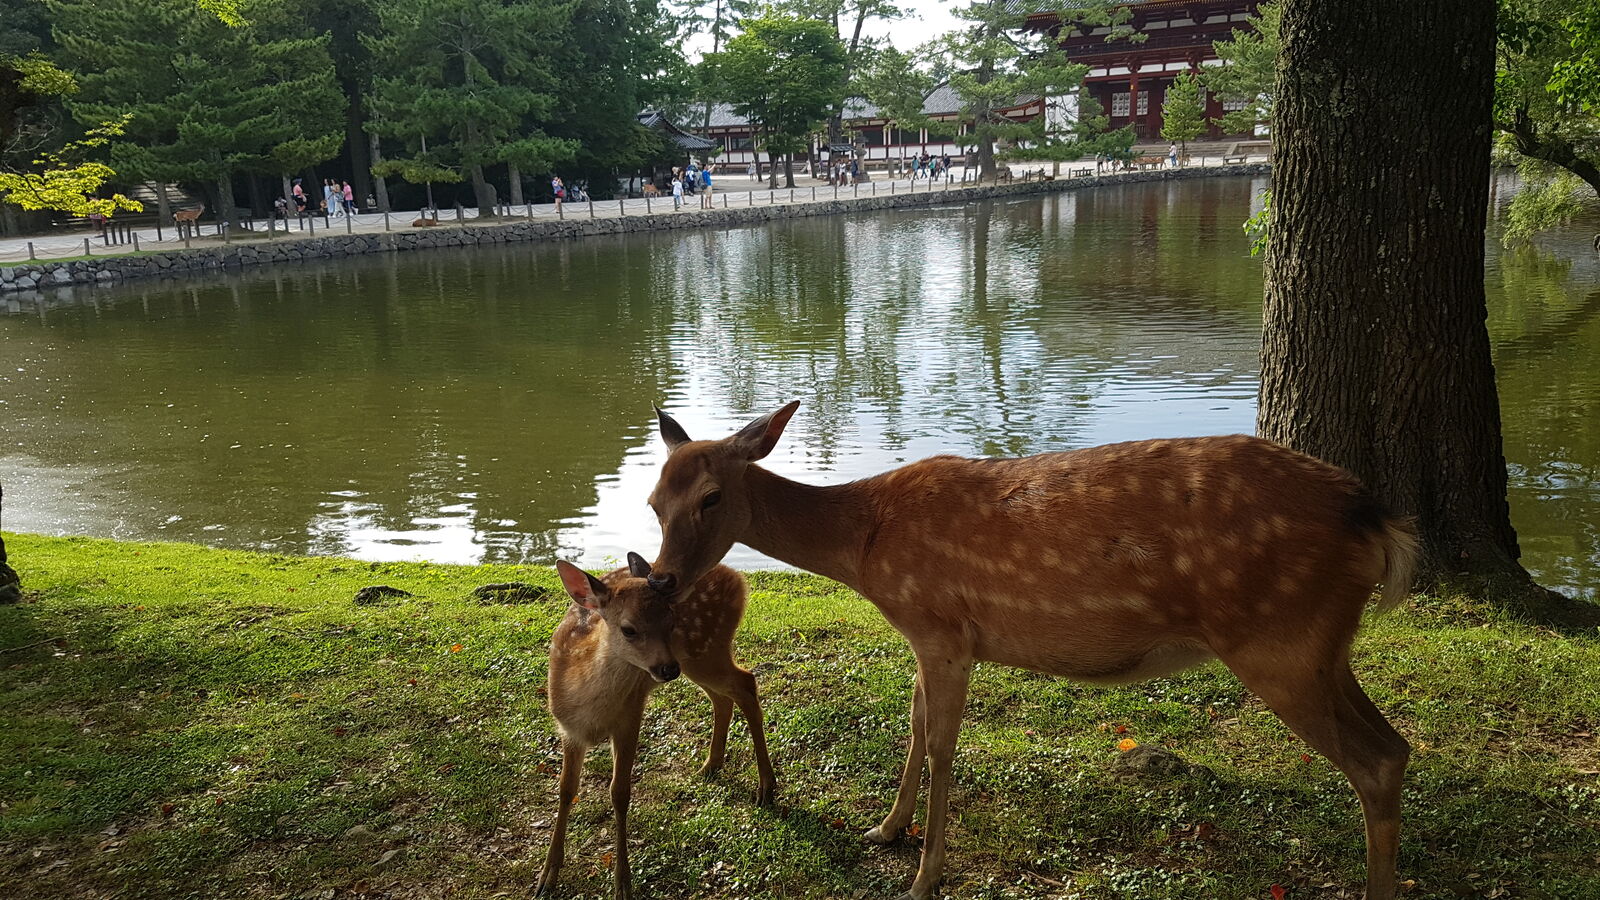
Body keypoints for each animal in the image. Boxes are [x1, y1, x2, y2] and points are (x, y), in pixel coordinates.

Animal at [538, 553, 777, 900]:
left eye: (671, 621)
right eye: (628, 629)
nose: (667, 668)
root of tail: (736, 576)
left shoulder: (630, 717)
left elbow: (620, 792)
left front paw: (622, 882)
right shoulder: (568, 730)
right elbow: (566, 790)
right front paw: (547, 876)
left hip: (704, 651)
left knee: (746, 683)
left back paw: (766, 786)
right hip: (697, 660)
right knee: (723, 698)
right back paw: (711, 765)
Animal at [643, 402, 1419, 900]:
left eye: (711, 497)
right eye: (654, 501)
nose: (661, 579)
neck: (866, 548)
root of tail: (1376, 521)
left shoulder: (944, 630)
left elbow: (940, 745)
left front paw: (925, 876)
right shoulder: (926, 634)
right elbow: (914, 727)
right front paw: (886, 830)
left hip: (1274, 642)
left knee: (1376, 761)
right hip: (1320, 648)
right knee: (1398, 745)